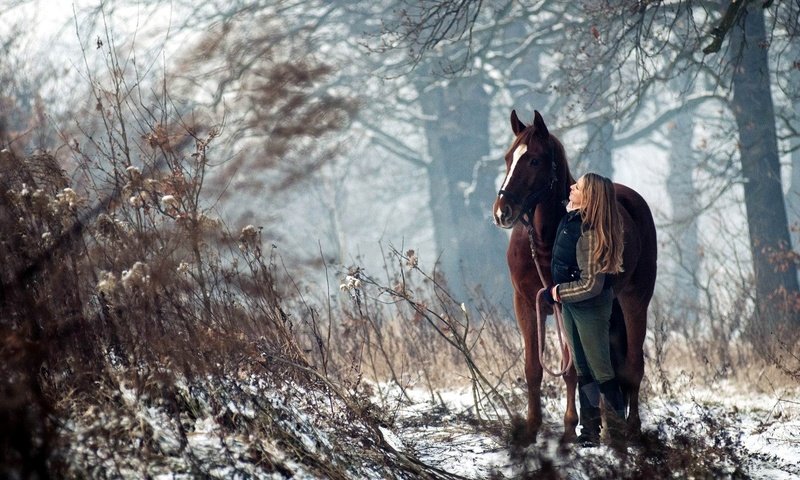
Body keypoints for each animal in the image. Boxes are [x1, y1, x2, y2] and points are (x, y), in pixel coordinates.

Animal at [494, 110, 656, 444]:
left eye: (534, 160)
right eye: (507, 158)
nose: (502, 212)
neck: (546, 240)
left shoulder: (563, 305)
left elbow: (570, 371)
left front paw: (570, 428)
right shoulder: (526, 305)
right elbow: (533, 368)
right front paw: (531, 429)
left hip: (635, 300)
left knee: (633, 365)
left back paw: (630, 430)